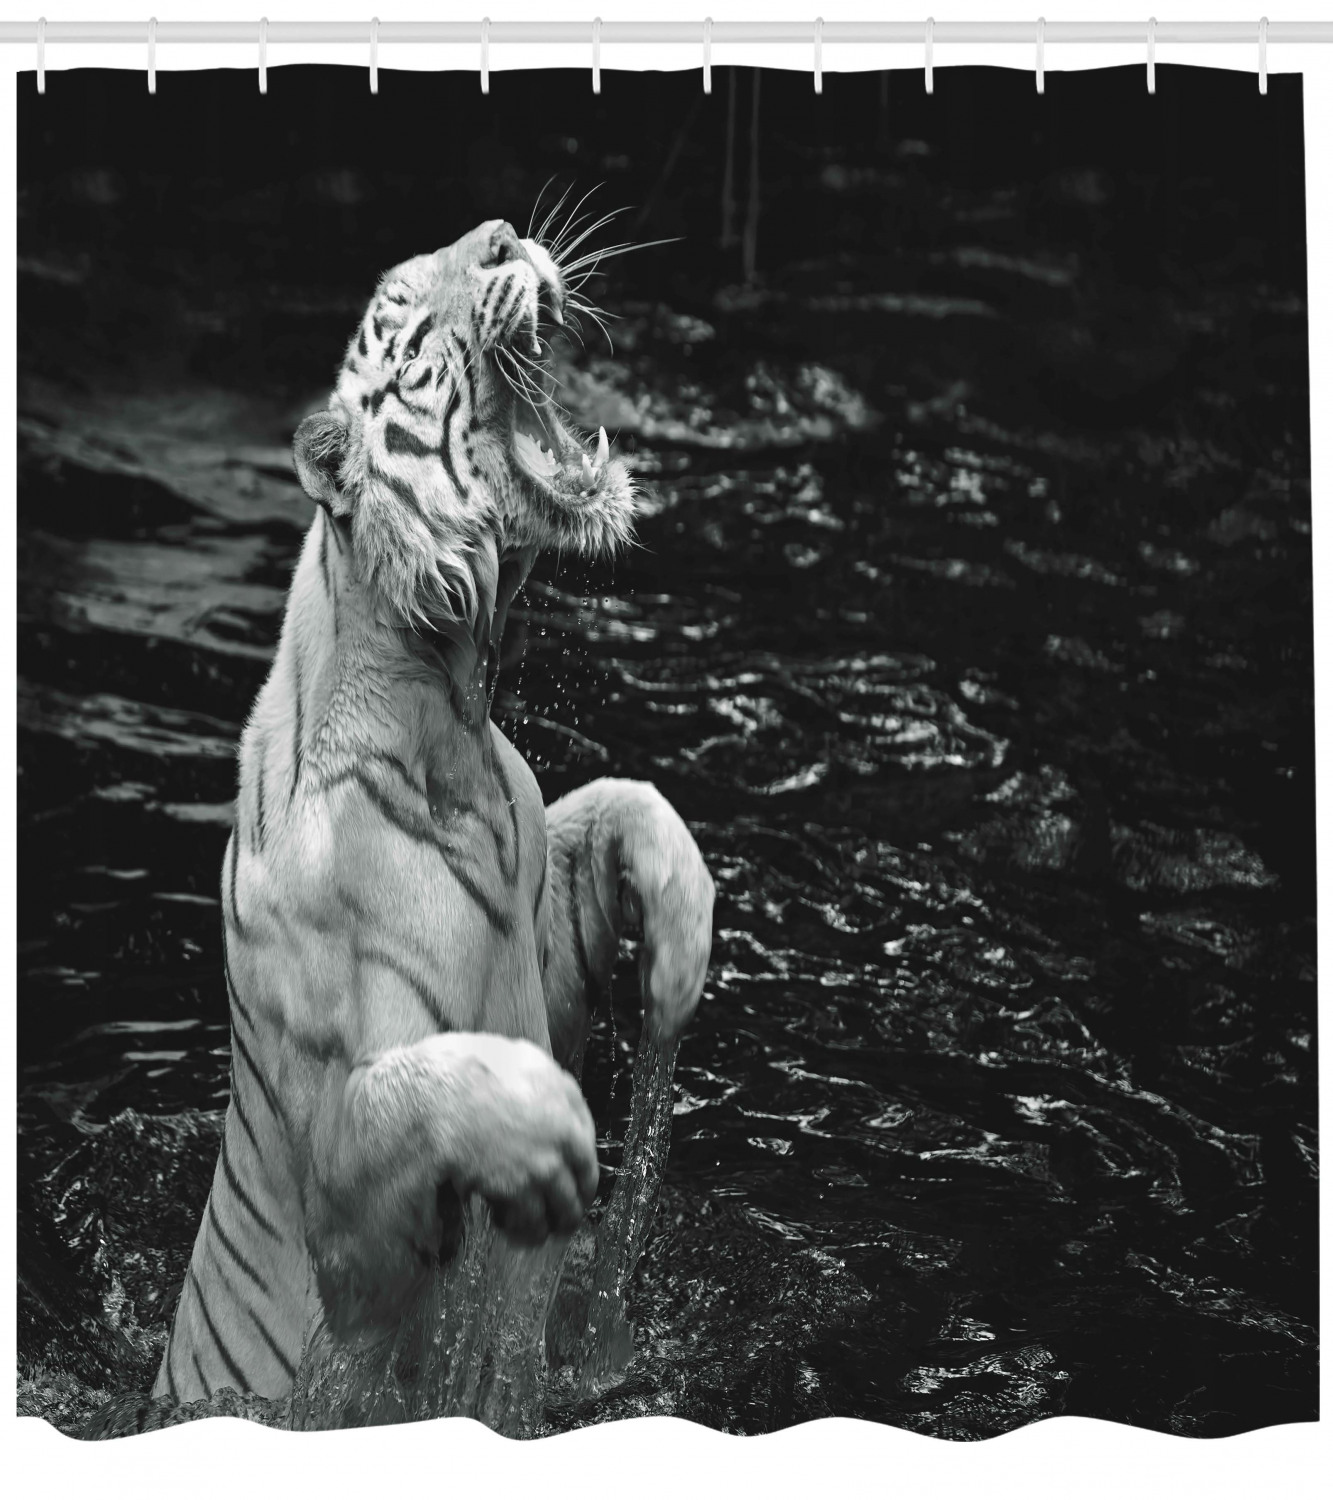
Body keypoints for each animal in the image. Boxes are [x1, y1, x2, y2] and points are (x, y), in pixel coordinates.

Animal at [152, 216, 715, 1405]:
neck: (450, 703)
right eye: (410, 329)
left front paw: (682, 949)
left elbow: (621, 802)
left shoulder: (535, 899)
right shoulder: (350, 1237)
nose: (506, 234)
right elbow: (409, 1097)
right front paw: (554, 1140)